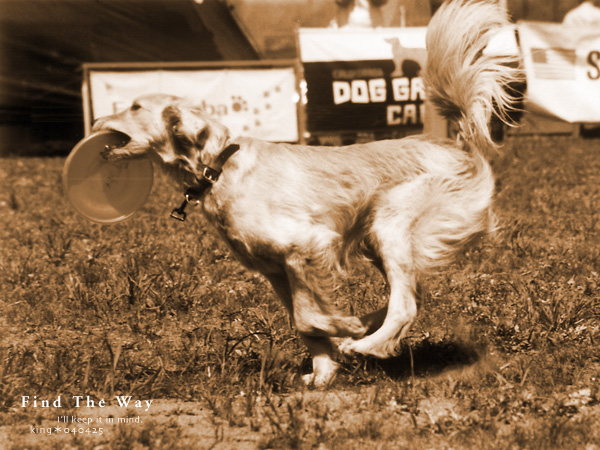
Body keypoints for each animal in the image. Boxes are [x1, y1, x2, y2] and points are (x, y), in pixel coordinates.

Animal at [92, 0, 520, 386]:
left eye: (135, 107)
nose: (95, 121)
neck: (221, 167)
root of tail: (458, 146)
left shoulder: (307, 245)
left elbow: (308, 317)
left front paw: (341, 333)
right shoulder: (277, 270)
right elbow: (303, 321)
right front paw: (324, 370)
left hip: (391, 225)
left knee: (406, 305)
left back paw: (365, 342)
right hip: (375, 240)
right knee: (412, 296)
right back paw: (364, 327)